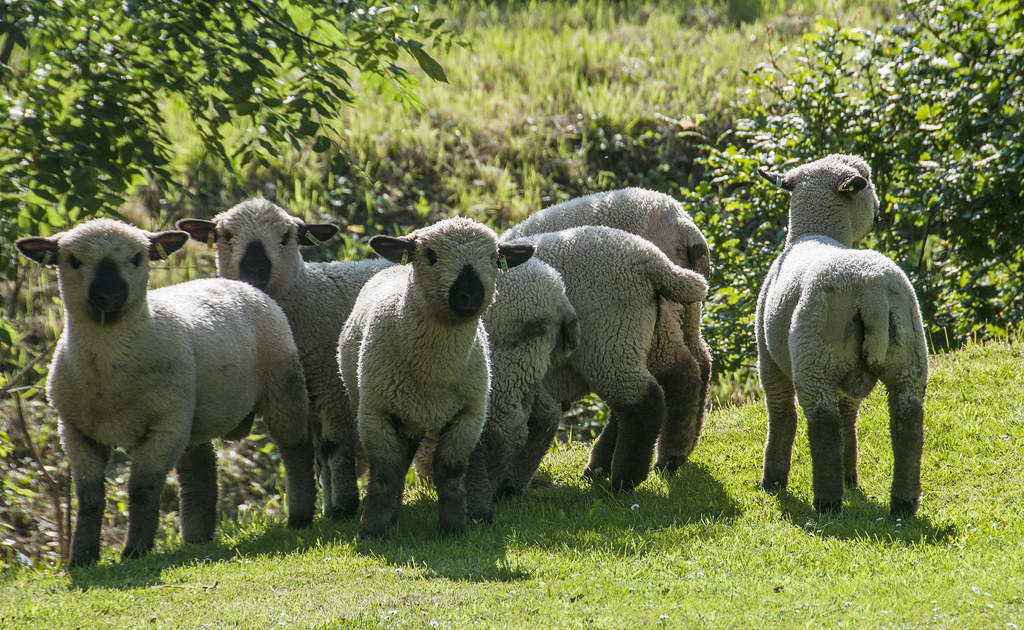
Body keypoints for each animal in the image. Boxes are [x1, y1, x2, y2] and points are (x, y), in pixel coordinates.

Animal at [14, 218, 315, 566]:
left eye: (137, 258)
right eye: (73, 260)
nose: (108, 295)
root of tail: (244, 284)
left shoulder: (165, 426)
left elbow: (142, 489)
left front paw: (135, 551)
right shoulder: (76, 430)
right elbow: (89, 497)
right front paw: (81, 559)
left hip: (282, 388)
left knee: (296, 450)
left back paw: (300, 516)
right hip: (193, 415)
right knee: (200, 472)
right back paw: (197, 538)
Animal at [176, 199, 390, 521]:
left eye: (286, 237)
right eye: (227, 235)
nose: (255, 268)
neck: (309, 295)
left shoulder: (333, 388)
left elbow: (334, 448)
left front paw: (343, 507)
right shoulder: (309, 399)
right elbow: (320, 457)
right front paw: (329, 509)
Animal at [338, 217, 534, 538]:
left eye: (494, 258)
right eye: (430, 255)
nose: (470, 294)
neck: (435, 374)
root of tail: (394, 267)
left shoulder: (469, 415)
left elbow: (451, 469)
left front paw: (454, 527)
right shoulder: (375, 414)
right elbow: (384, 472)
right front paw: (374, 529)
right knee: (399, 464)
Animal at [503, 188, 712, 471]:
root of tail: (682, 224)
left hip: (640, 323)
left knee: (677, 373)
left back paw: (667, 456)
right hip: (684, 311)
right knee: (701, 361)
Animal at [755, 154, 927, 517]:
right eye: (868, 182)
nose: (878, 214)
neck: (814, 232)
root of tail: (872, 292)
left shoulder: (768, 359)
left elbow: (781, 416)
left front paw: (773, 480)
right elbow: (850, 417)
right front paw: (851, 475)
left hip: (815, 357)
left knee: (823, 426)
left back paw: (827, 501)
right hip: (910, 356)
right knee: (907, 424)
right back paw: (903, 502)